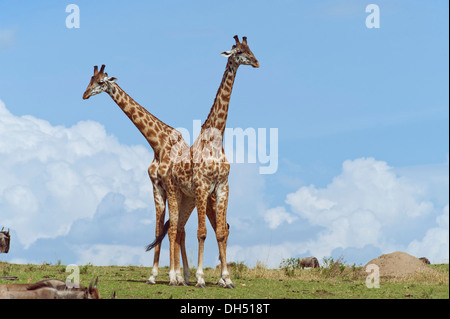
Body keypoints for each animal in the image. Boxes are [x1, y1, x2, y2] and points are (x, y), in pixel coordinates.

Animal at [81, 65, 191, 288]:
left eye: (101, 82)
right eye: (90, 80)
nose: (85, 95)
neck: (158, 144)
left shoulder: (171, 188)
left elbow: (170, 230)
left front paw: (172, 277)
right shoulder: (156, 187)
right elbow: (158, 230)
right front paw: (153, 276)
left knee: (180, 230)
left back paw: (183, 276)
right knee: (182, 231)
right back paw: (185, 277)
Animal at [149, 35, 258, 290]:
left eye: (250, 48)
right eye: (239, 51)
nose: (256, 62)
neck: (216, 139)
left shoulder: (223, 186)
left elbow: (220, 232)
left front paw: (227, 278)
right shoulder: (201, 186)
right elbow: (202, 232)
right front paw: (199, 278)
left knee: (179, 229)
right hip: (175, 193)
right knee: (174, 229)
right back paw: (175, 277)